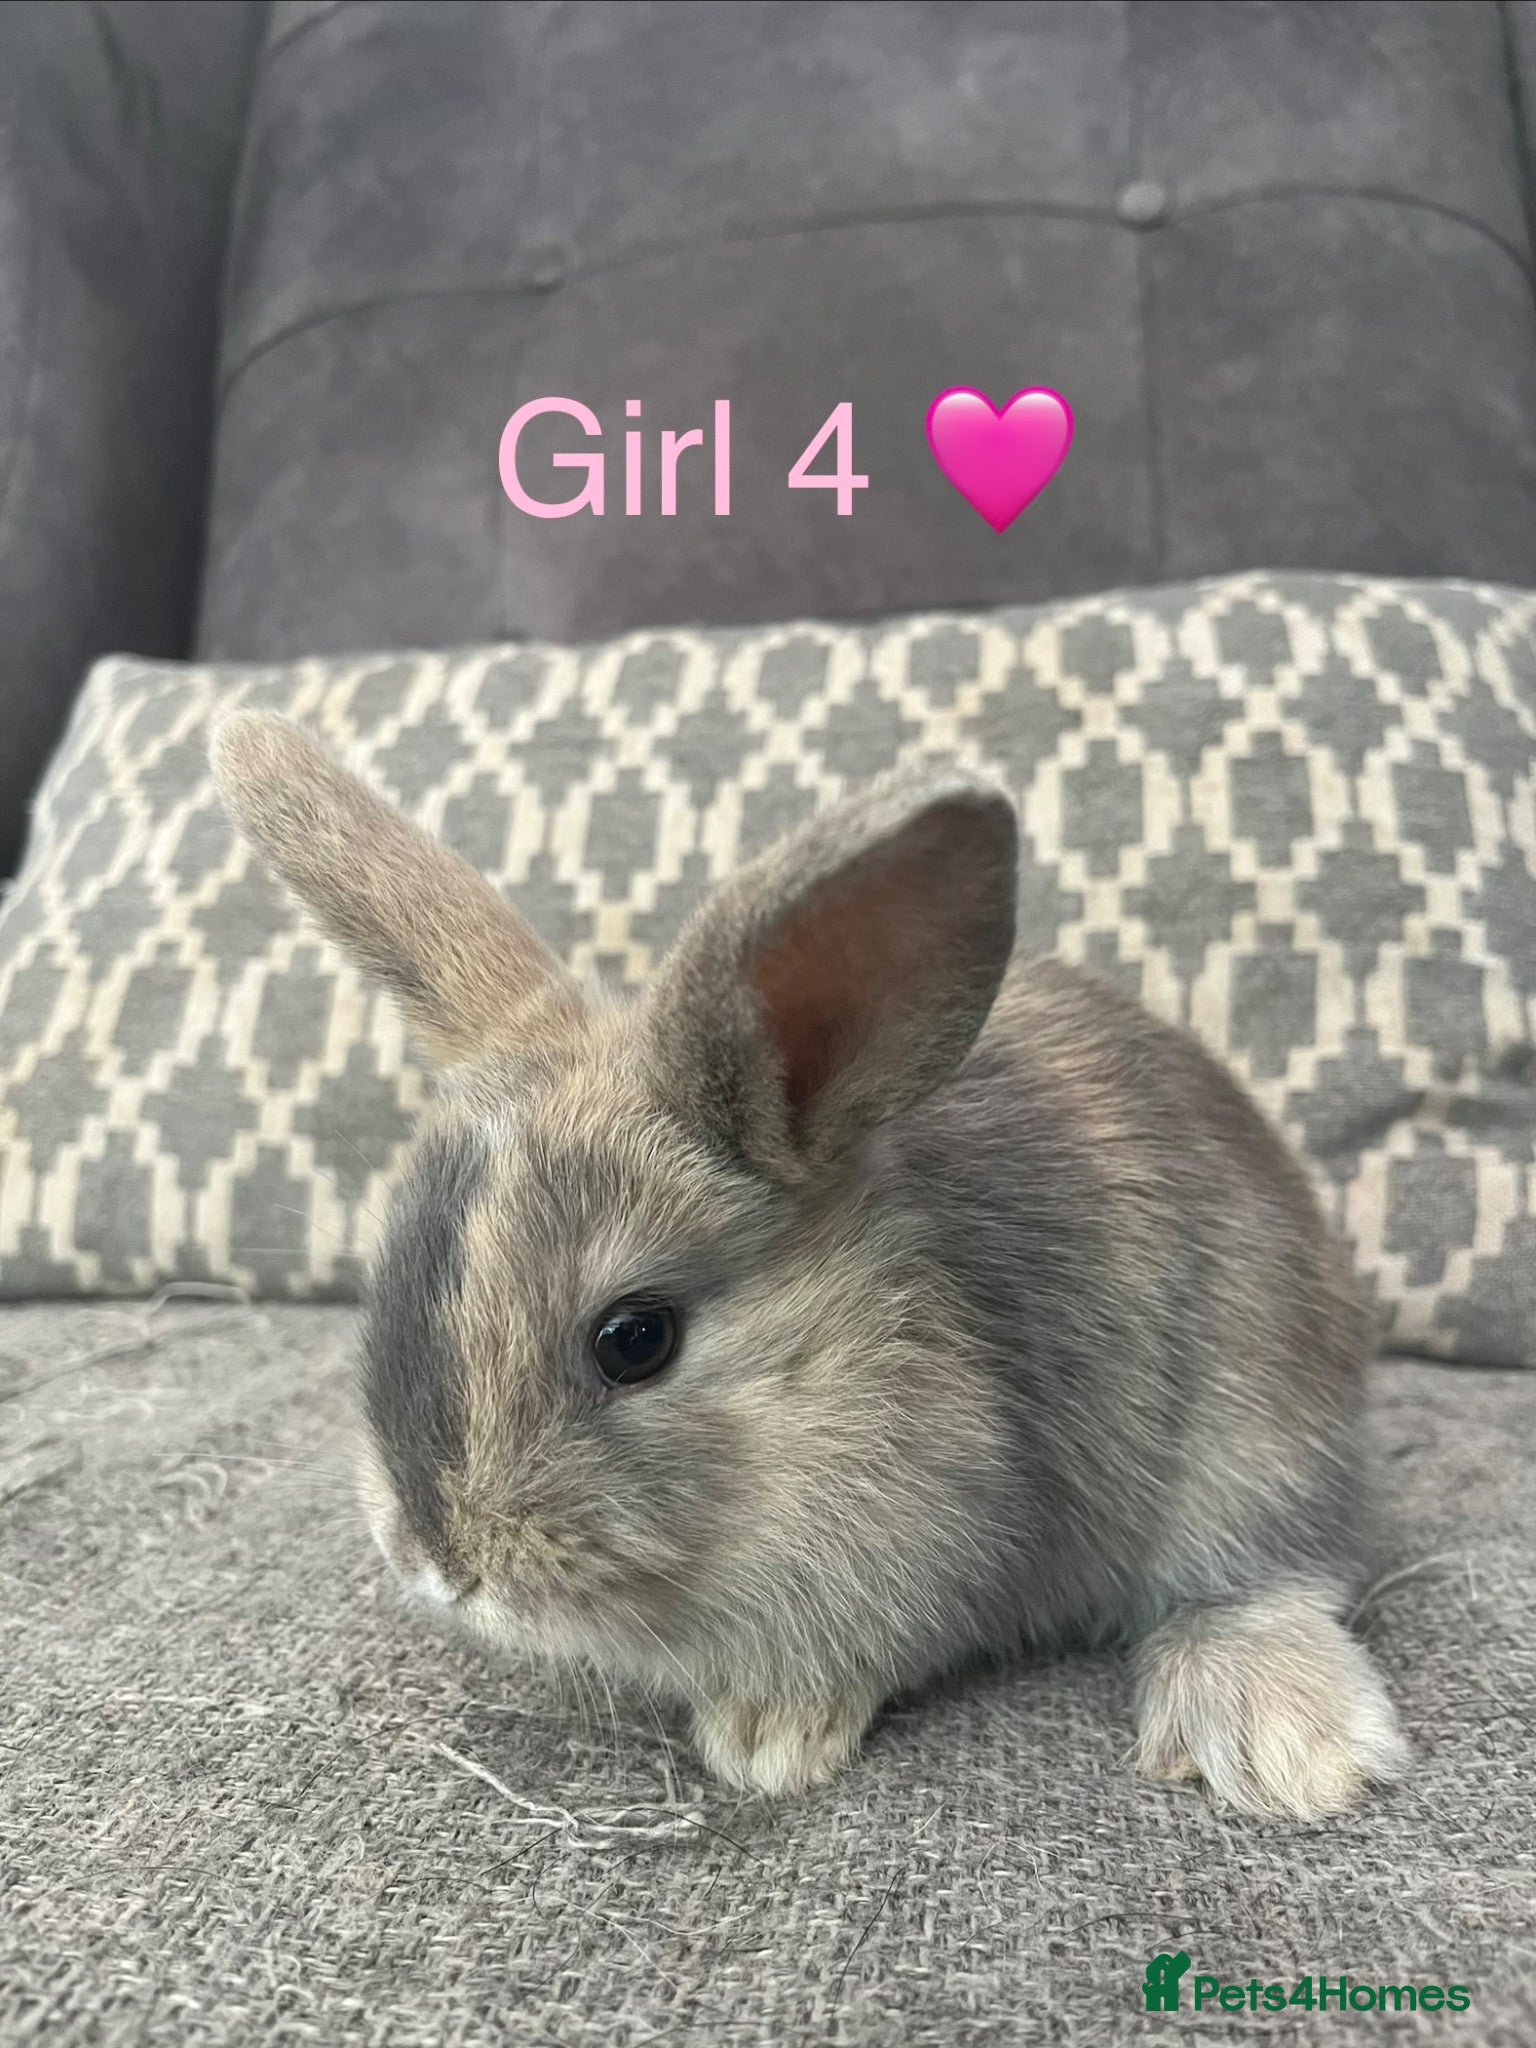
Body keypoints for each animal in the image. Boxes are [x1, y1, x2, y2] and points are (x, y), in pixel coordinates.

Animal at [211, 710, 1409, 1818]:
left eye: (633, 1338)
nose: (440, 1564)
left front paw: (767, 1743)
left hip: (1257, 1435)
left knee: (1273, 1575)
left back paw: (1281, 1746)